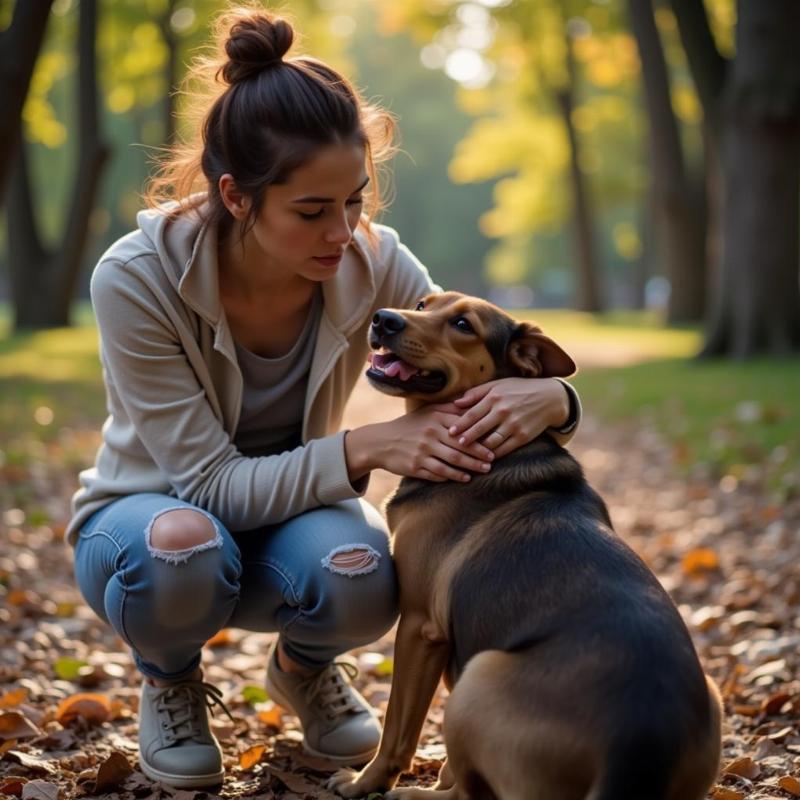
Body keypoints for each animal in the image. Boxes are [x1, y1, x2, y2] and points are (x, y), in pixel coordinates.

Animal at [328, 294, 720, 800]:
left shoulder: (419, 626)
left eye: (462, 325)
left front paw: (364, 782)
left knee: (469, 795)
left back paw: (413, 794)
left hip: (480, 676)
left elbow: (399, 728)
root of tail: (638, 744)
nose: (384, 319)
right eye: (422, 303)